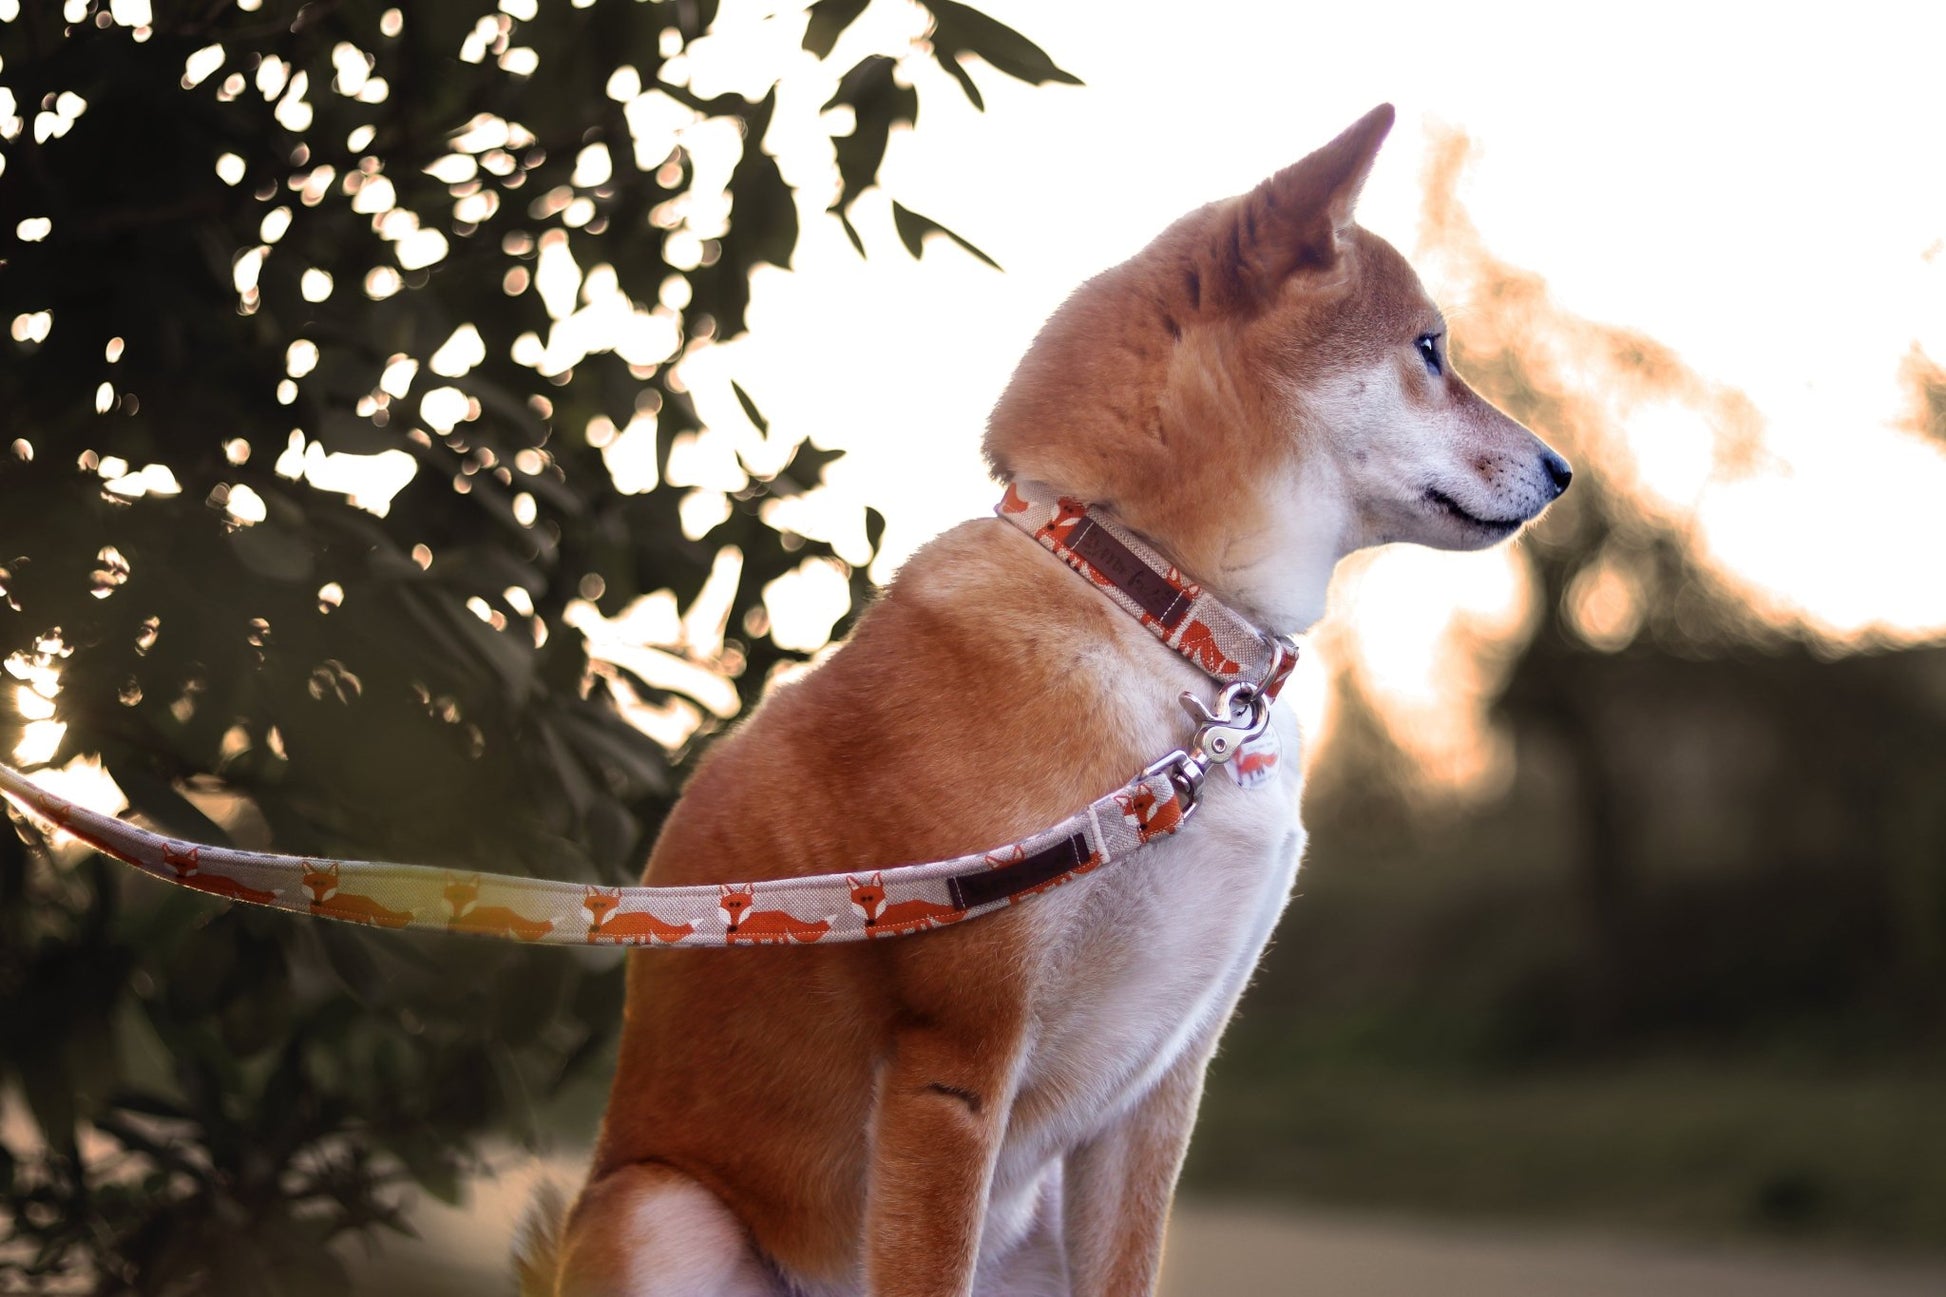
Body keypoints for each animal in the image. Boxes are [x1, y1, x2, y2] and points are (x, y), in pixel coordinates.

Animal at [526, 106, 1569, 1296]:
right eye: (1431, 348)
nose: (1559, 468)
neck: (1151, 609)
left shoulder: (1161, 1083)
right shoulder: (954, 1065)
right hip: (666, 1210)